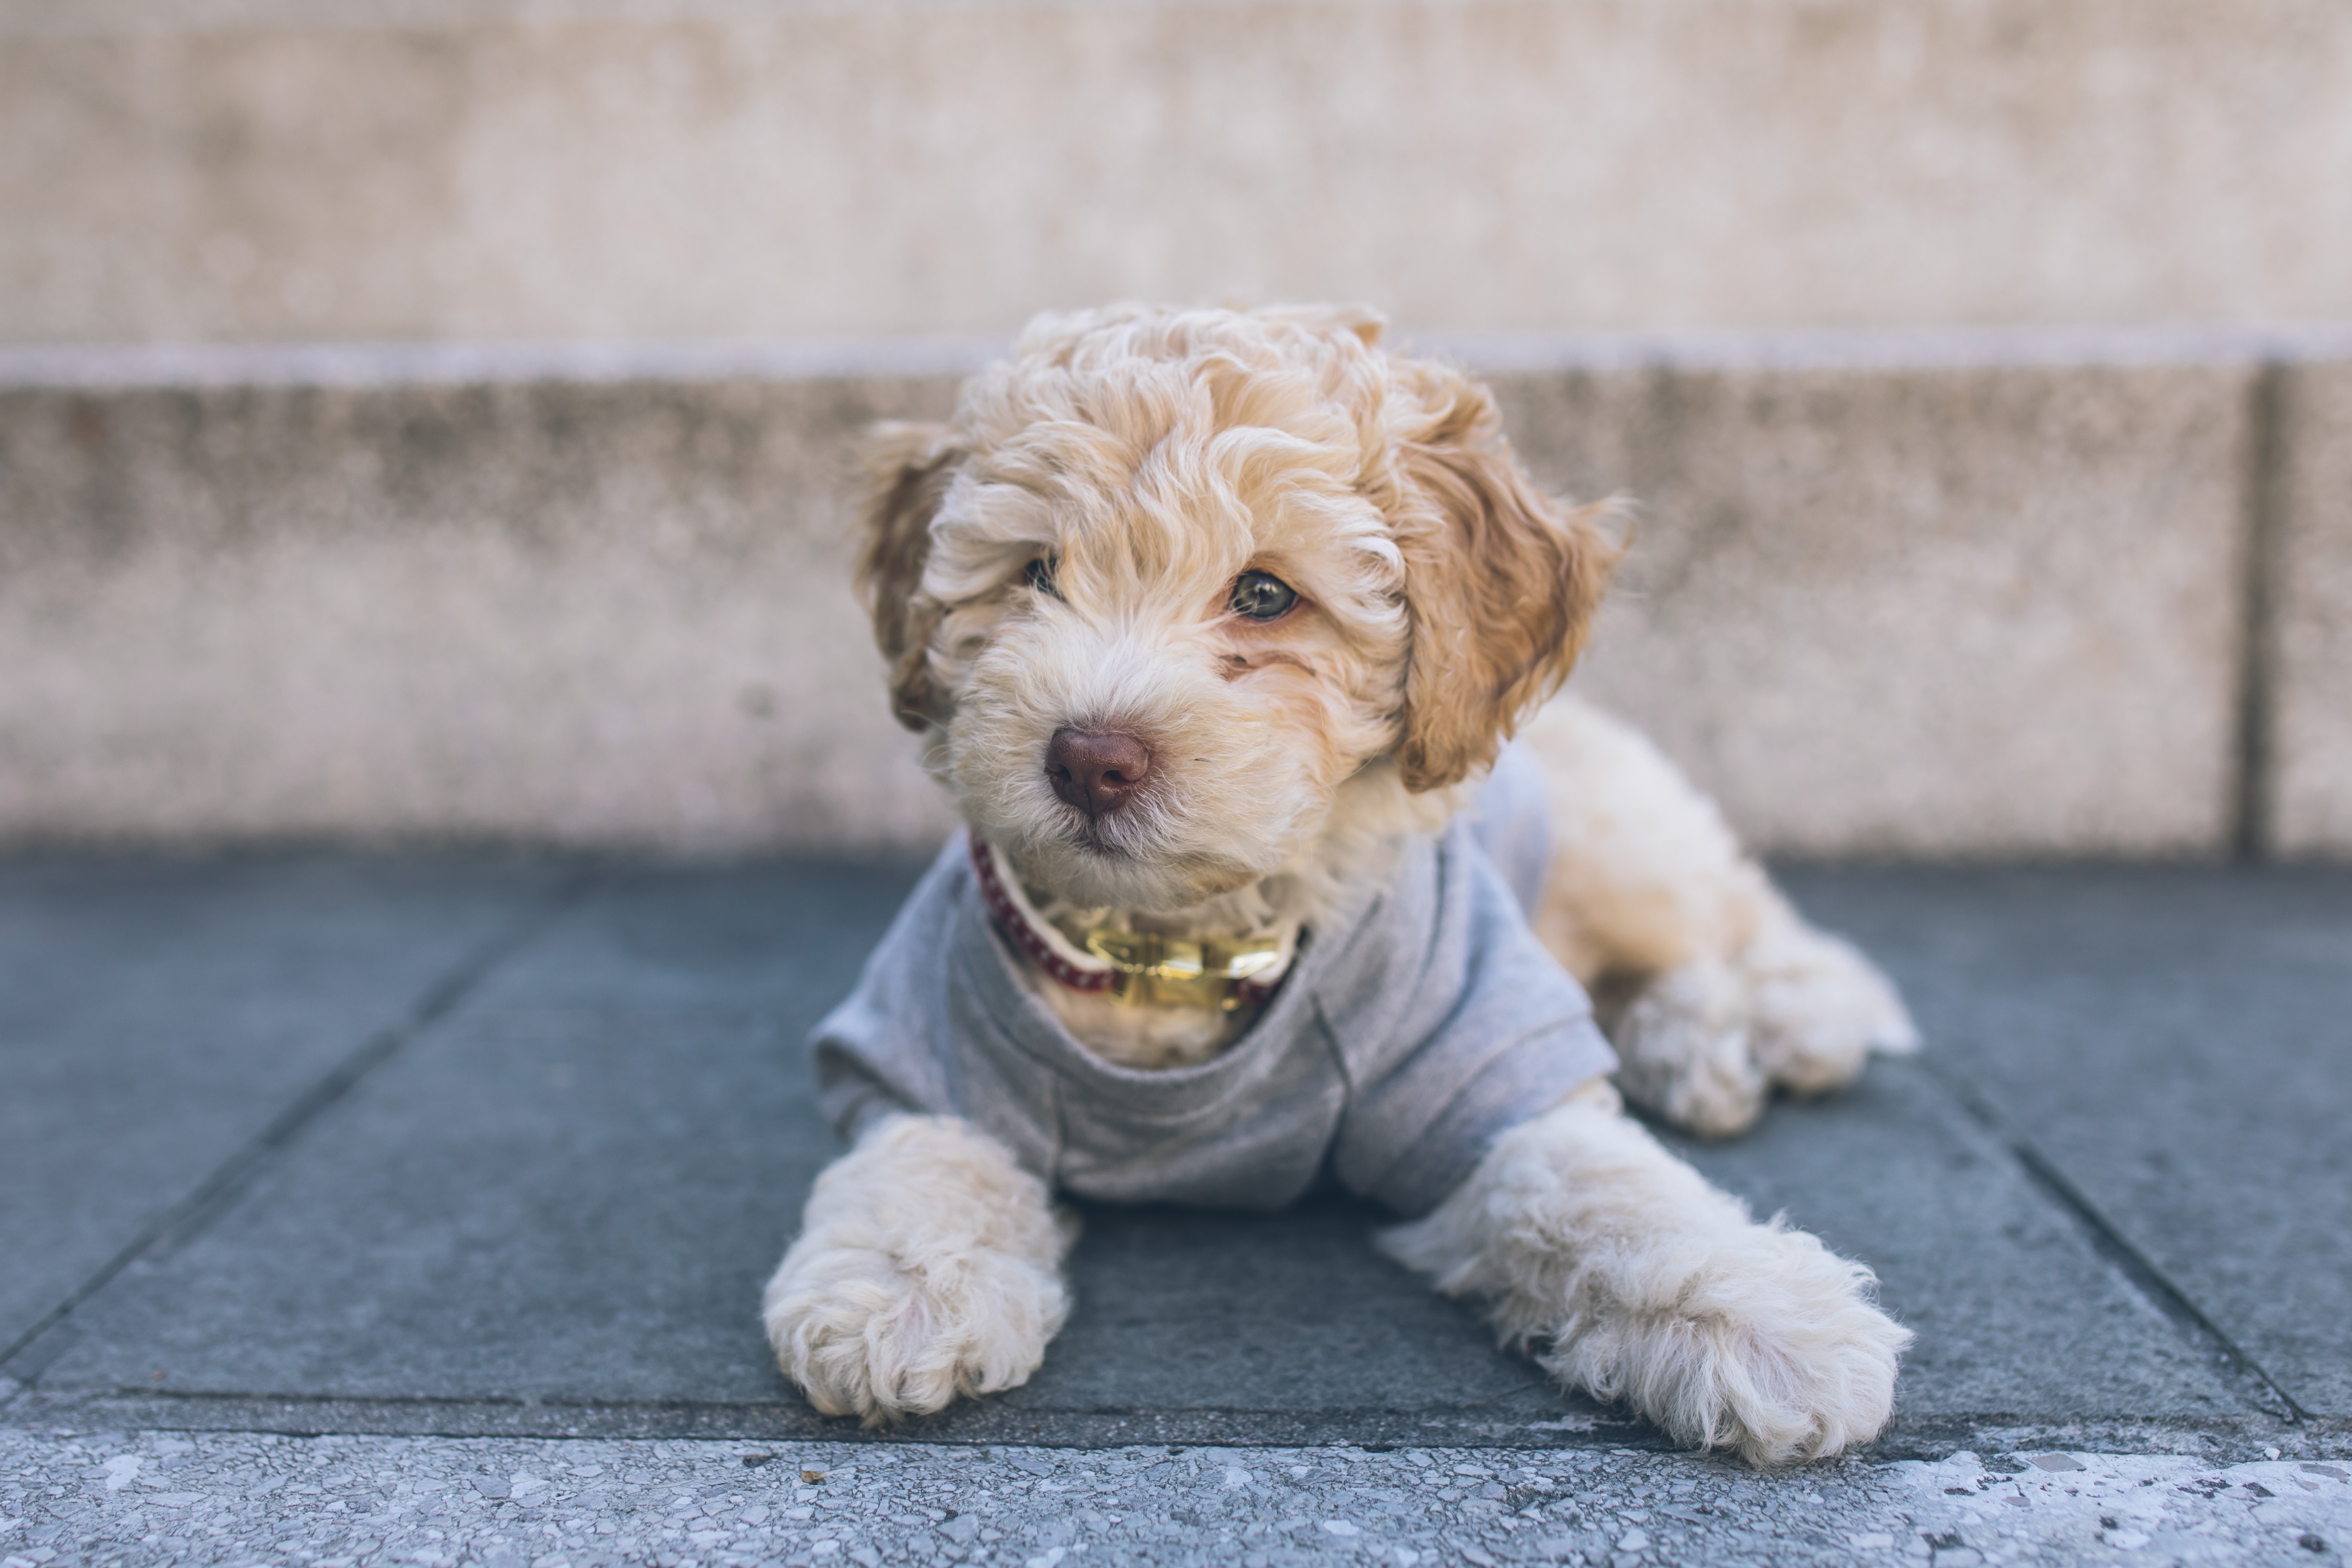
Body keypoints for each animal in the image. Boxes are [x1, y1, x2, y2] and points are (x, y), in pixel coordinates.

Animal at [762, 305, 1919, 1476]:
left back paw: (1777, 1022)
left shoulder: (1479, 1050)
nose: (1090, 759)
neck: (1175, 951)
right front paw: (900, 1291)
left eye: (1267, 594)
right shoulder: (933, 1041)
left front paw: (1760, 1317)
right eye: (1035, 571)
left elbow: (1599, 1186)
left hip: (1618, 839)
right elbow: (924, 1160)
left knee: (1741, 921)